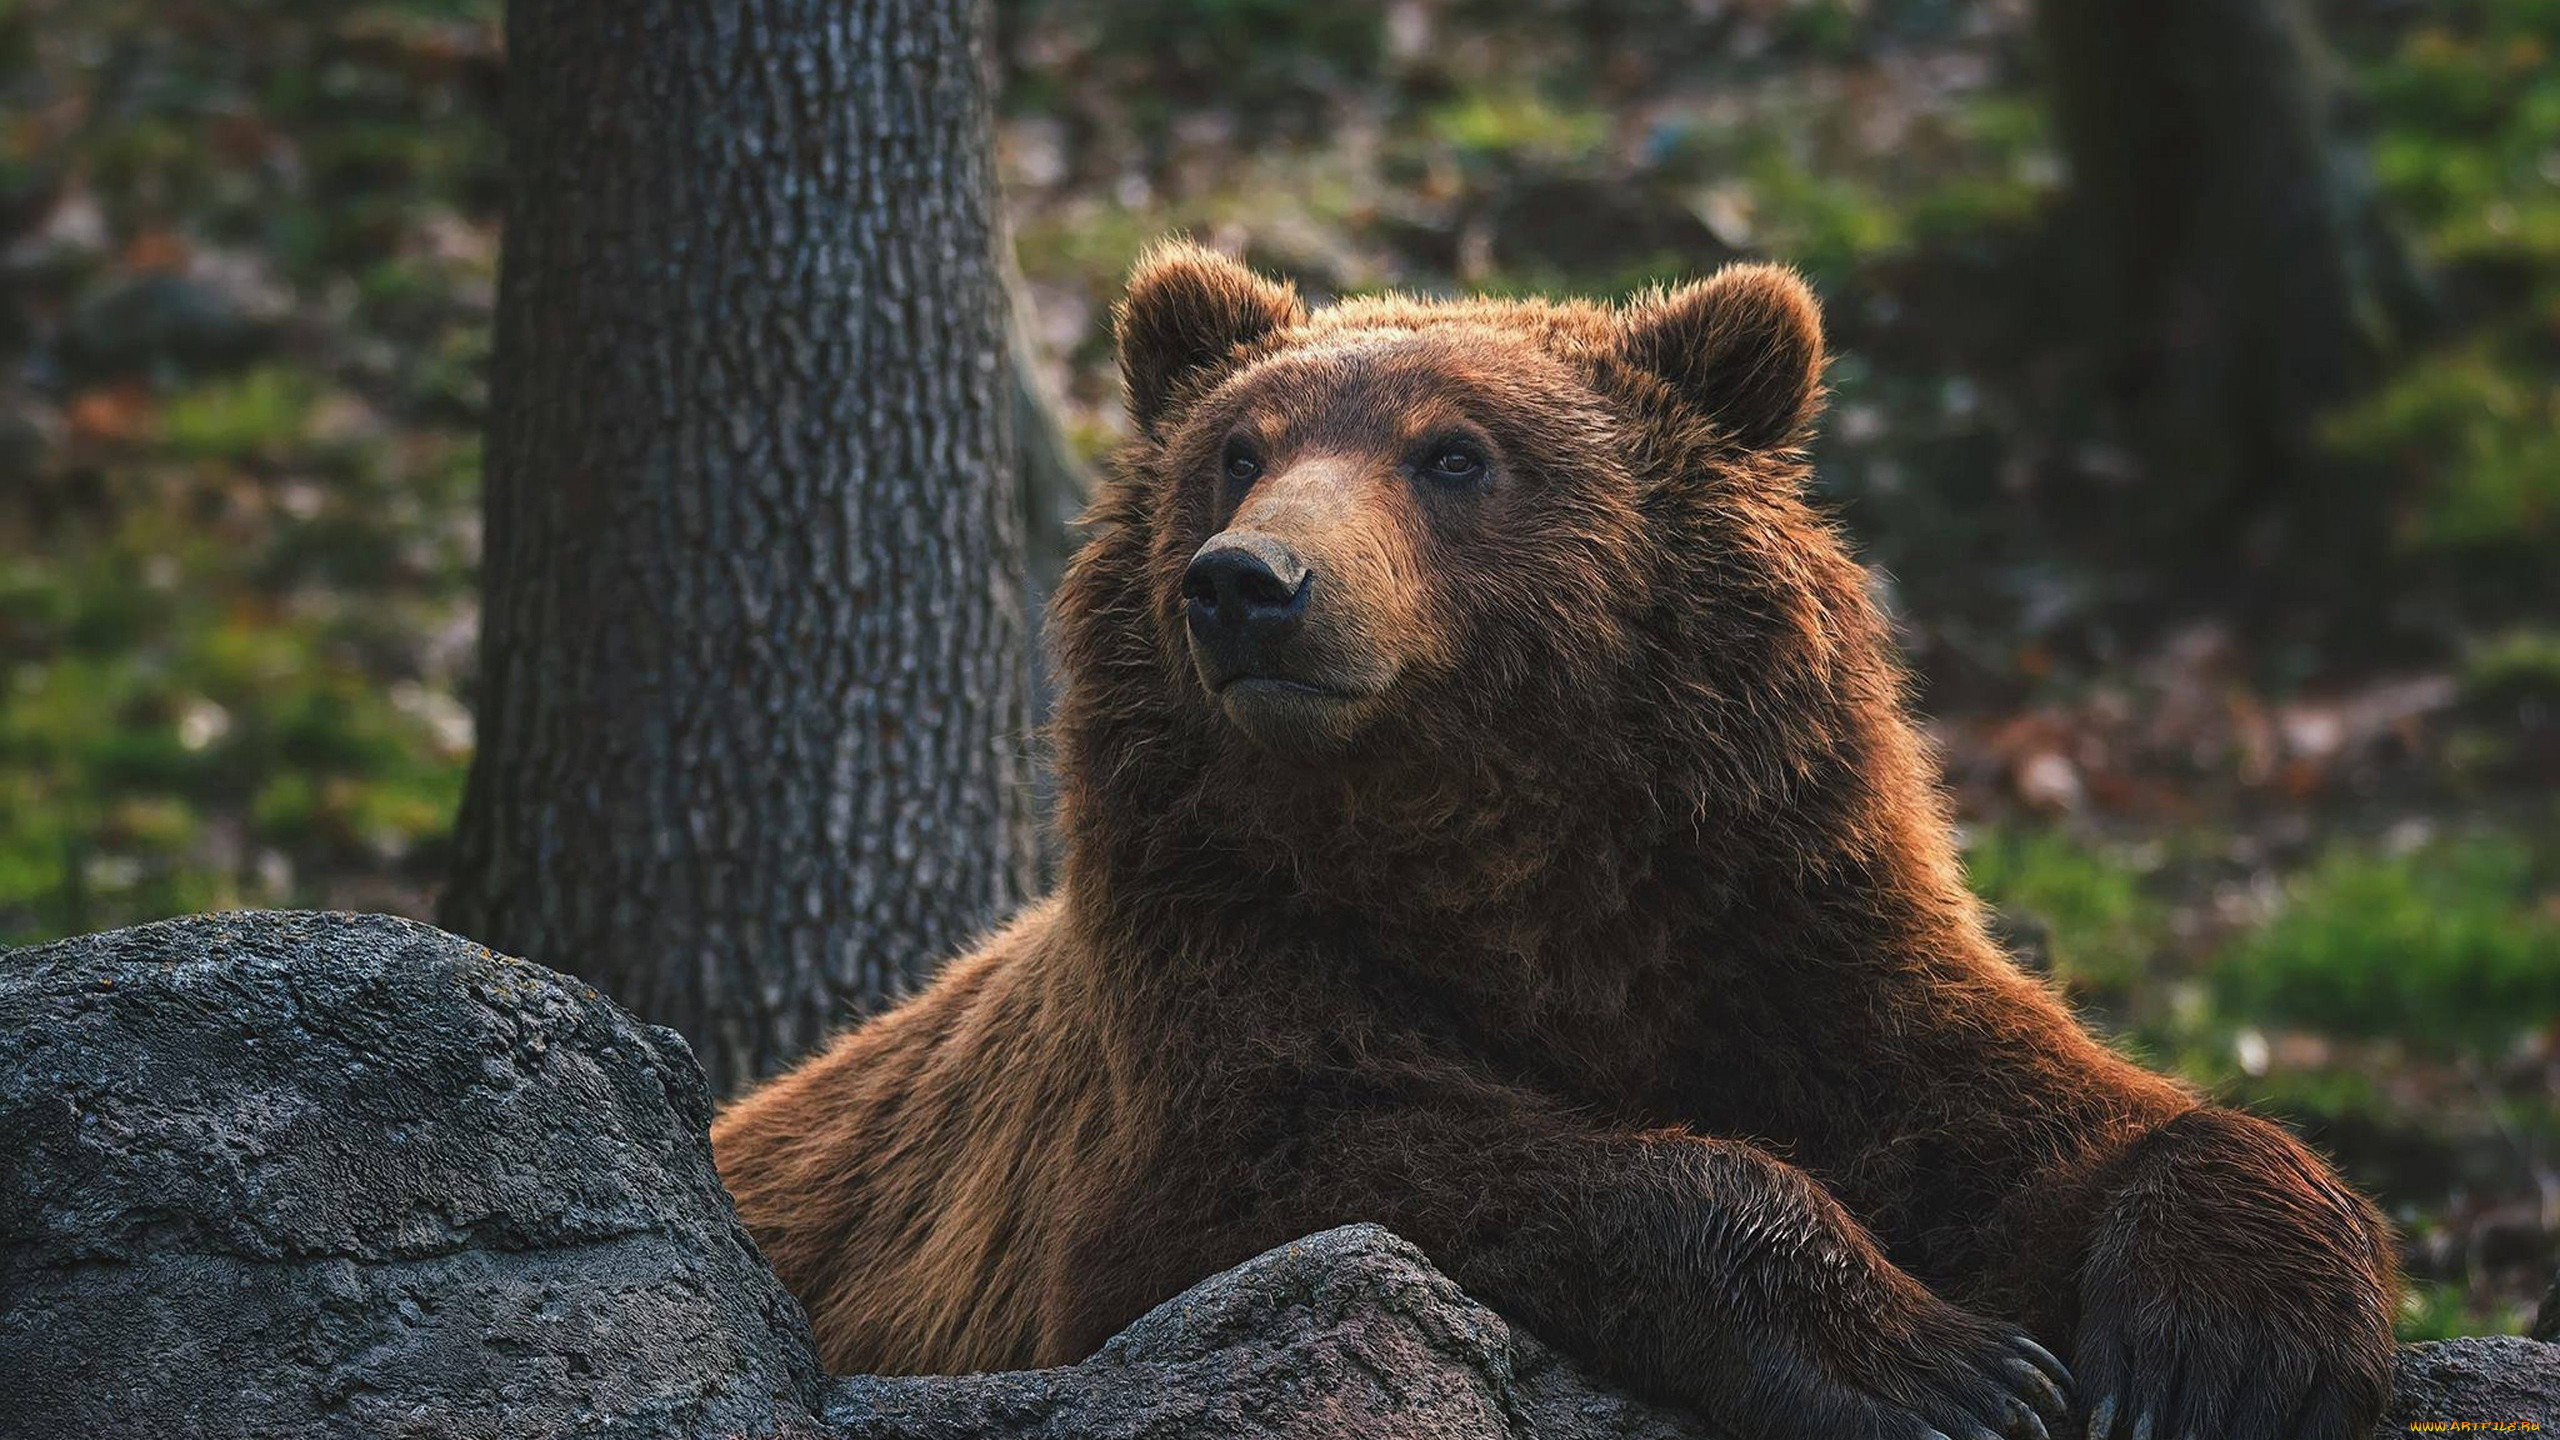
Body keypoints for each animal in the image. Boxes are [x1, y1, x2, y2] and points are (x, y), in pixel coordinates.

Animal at [716, 243, 2396, 1434]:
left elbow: (2050, 1113)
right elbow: (1329, 1158)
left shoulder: (1782, 920)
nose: (1247, 583)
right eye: (1239, 449)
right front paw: (1943, 1369)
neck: (1502, 856)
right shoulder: (1213, 971)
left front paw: (2226, 1350)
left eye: (1453, 455)